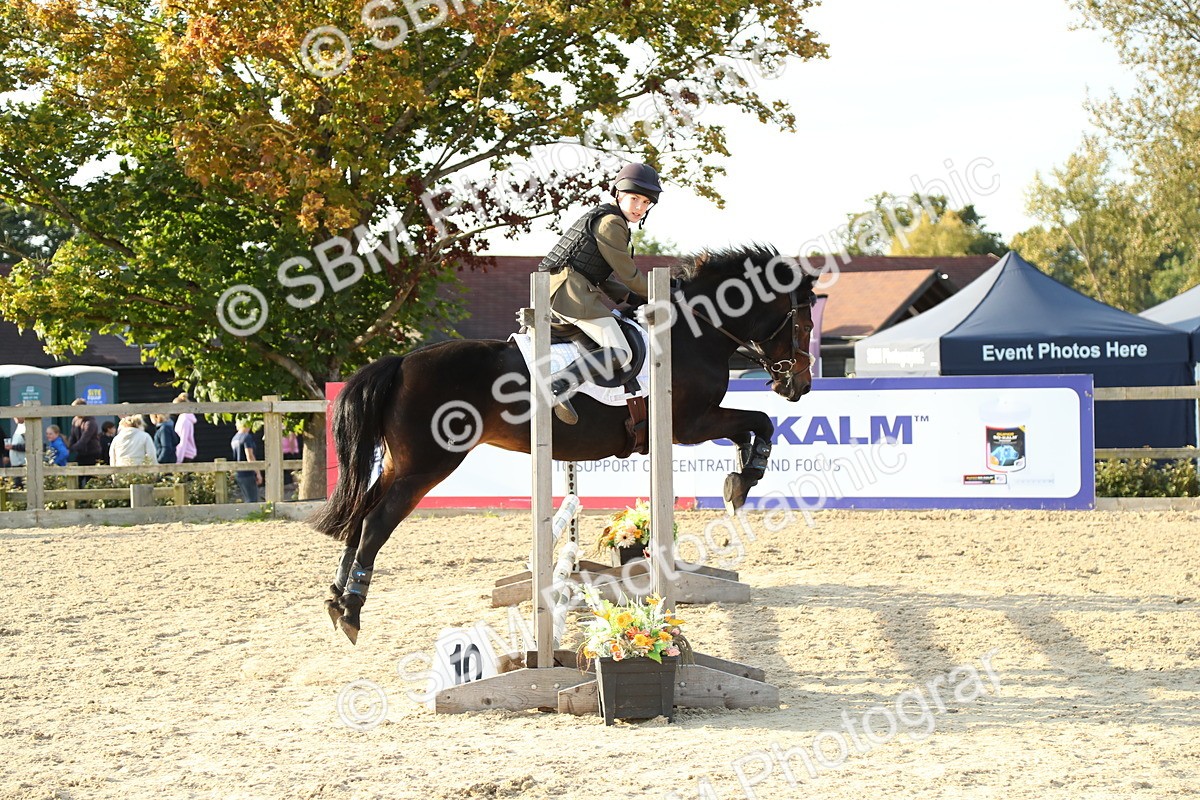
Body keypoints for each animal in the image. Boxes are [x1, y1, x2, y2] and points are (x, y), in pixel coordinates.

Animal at [311, 244, 820, 642]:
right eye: (804, 323)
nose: (800, 386)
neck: (693, 331)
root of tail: (402, 362)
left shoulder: (693, 425)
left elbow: (752, 426)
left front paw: (738, 481)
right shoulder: (691, 424)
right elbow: (759, 422)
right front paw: (743, 481)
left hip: (399, 466)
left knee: (359, 518)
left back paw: (337, 599)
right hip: (427, 465)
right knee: (376, 523)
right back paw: (352, 609)